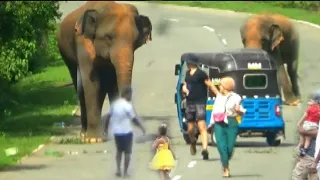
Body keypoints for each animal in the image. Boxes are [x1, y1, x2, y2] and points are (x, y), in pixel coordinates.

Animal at [57, 0, 152, 143]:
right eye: (108, 37)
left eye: (135, 41)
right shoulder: (84, 43)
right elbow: (92, 84)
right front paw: (93, 140)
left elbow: (113, 85)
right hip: (65, 52)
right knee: (79, 87)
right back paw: (84, 135)